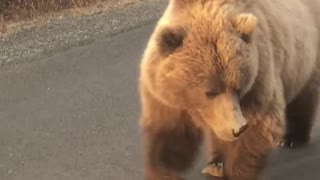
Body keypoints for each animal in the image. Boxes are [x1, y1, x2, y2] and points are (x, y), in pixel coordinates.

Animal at [138, 0, 320, 179]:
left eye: (238, 88)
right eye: (210, 92)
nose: (238, 128)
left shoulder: (259, 75)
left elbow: (258, 125)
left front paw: (234, 170)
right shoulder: (167, 98)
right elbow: (170, 135)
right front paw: (163, 171)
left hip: (304, 56)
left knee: (304, 96)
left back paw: (293, 138)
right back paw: (215, 163)